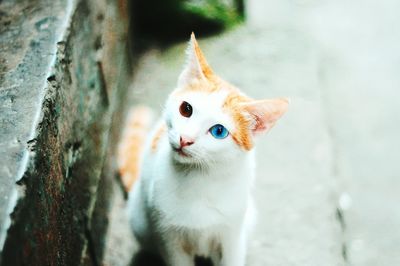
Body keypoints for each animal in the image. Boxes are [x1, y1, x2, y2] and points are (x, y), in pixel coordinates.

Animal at [117, 33, 290, 266]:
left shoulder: (231, 235)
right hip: (140, 222)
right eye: (185, 109)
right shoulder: (168, 237)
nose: (185, 139)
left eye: (219, 131)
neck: (200, 176)